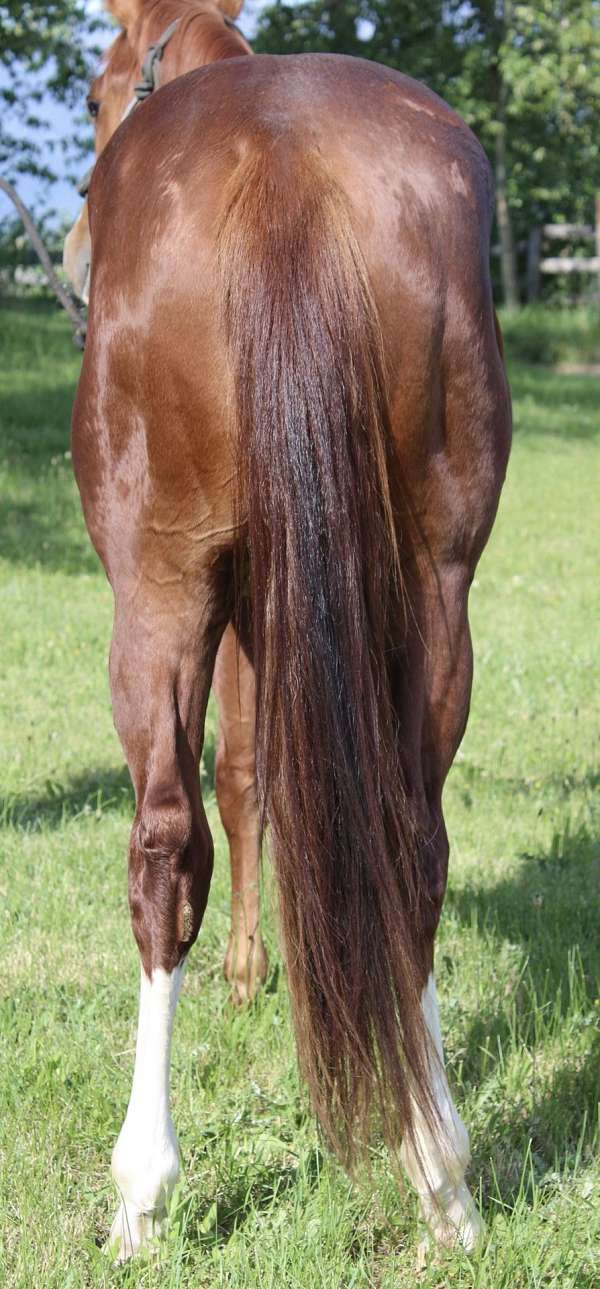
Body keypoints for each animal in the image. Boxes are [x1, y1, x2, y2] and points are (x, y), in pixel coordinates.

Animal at [63, 0, 511, 1263]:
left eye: (97, 94)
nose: (66, 271)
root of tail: (284, 165)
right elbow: (274, 771)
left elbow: (236, 776)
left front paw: (245, 972)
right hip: (434, 586)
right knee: (411, 838)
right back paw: (441, 1170)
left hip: (159, 582)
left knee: (162, 845)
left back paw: (142, 1188)